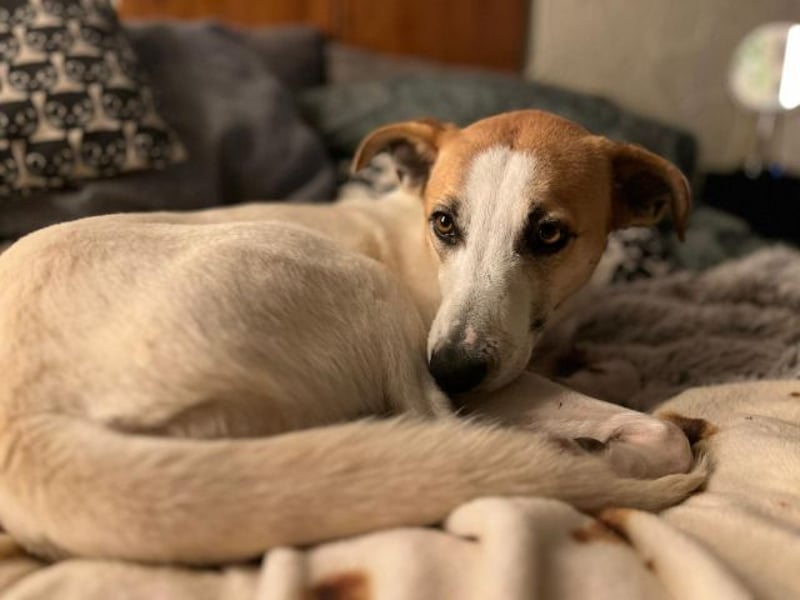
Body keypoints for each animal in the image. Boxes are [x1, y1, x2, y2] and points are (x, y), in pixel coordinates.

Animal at [0, 110, 702, 565]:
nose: (450, 366)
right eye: (444, 223)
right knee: (438, 428)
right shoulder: (485, 377)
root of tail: (28, 432)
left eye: (550, 234)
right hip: (361, 288)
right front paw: (612, 437)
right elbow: (660, 432)